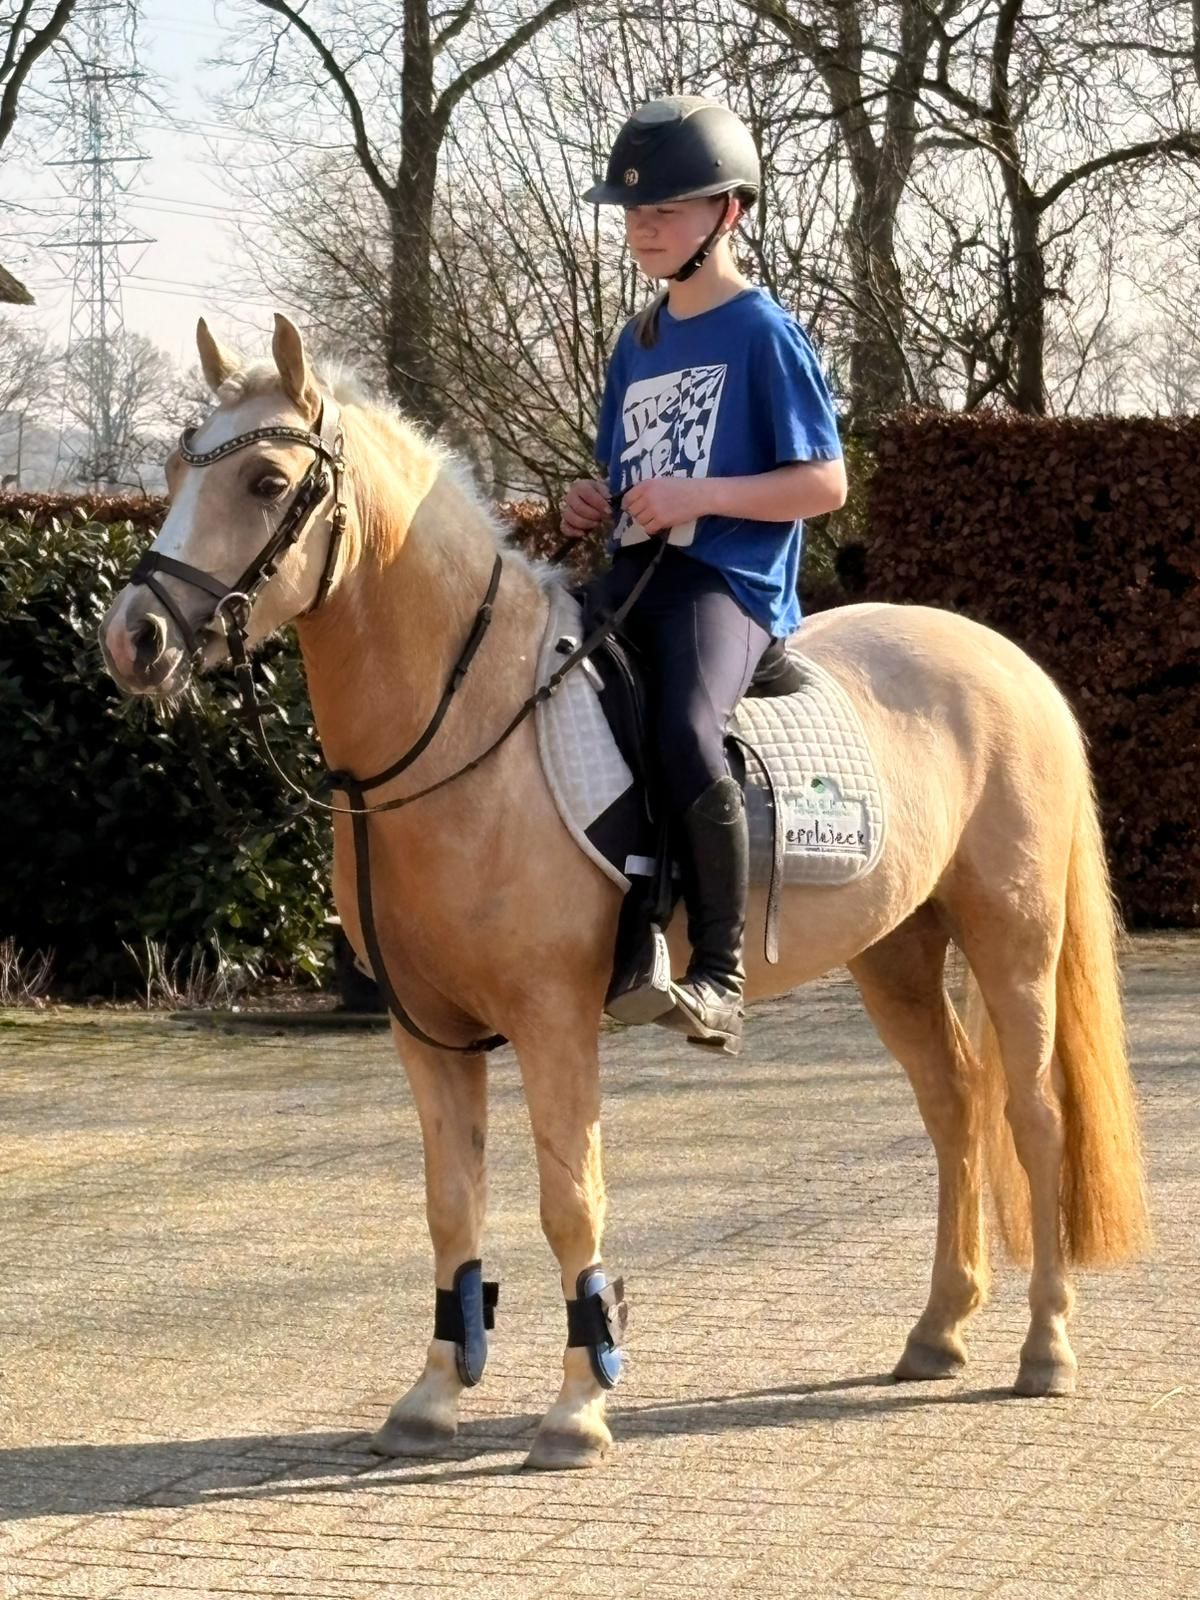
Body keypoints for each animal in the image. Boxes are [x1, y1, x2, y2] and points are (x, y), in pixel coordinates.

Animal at [99, 313, 1149, 1471]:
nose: (133, 637)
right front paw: (432, 1398)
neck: (471, 732)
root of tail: (1012, 663)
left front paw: (577, 1408)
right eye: (174, 471)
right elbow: (452, 1206)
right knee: (956, 1106)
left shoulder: (555, 1021)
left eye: (266, 479)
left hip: (1012, 939)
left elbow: (570, 1201)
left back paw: (1044, 1348)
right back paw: (938, 1332)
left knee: (1034, 1115)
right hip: (898, 951)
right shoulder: (428, 1033)